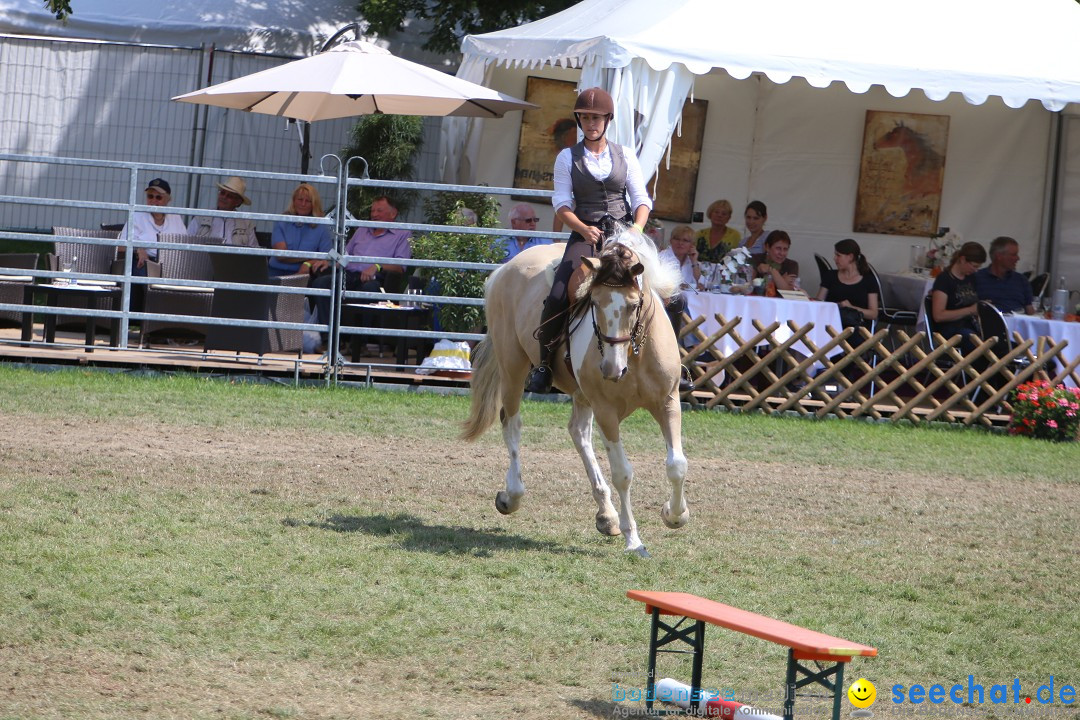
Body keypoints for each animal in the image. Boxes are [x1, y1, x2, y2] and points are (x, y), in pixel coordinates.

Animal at [460, 231, 686, 557]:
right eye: (594, 302)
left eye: (633, 306)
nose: (611, 369)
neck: (634, 354)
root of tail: (504, 270)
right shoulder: (606, 412)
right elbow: (623, 473)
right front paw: (634, 540)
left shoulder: (668, 402)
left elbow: (677, 465)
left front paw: (675, 515)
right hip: (513, 367)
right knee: (511, 422)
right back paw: (512, 495)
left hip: (580, 394)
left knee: (578, 433)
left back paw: (607, 515)